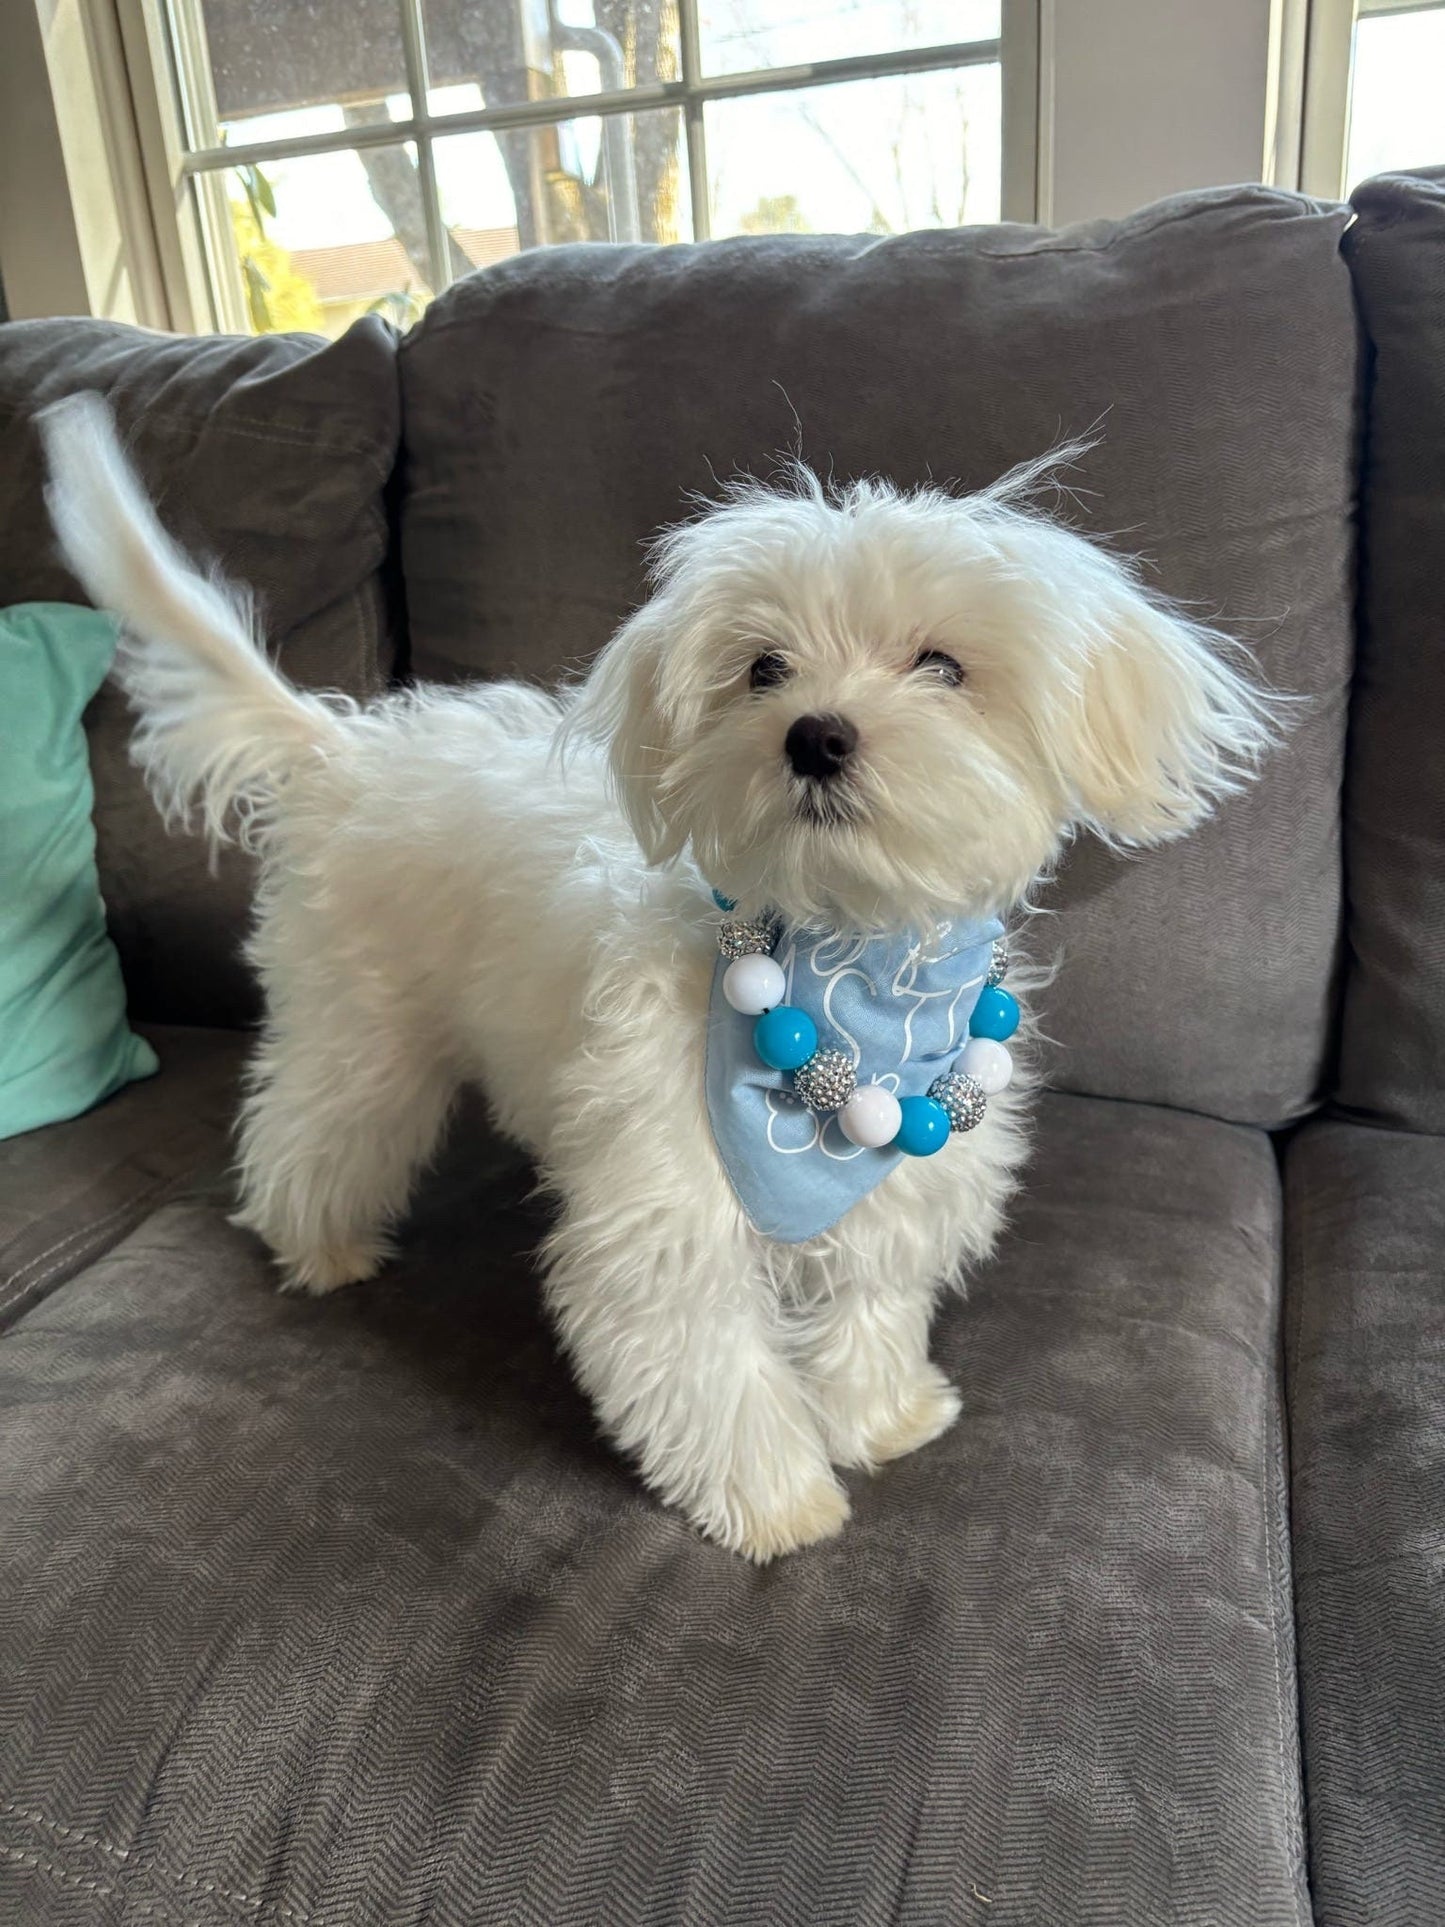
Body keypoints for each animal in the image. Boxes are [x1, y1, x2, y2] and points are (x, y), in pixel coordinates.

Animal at [39, 398, 1271, 1557]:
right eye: (763, 668)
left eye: (942, 665)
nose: (813, 735)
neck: (847, 980)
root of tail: (349, 750)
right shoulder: (664, 1216)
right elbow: (708, 1367)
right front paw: (778, 1500)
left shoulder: (896, 1191)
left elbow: (868, 1307)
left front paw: (880, 1418)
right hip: (366, 1030)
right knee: (307, 1132)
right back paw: (320, 1246)